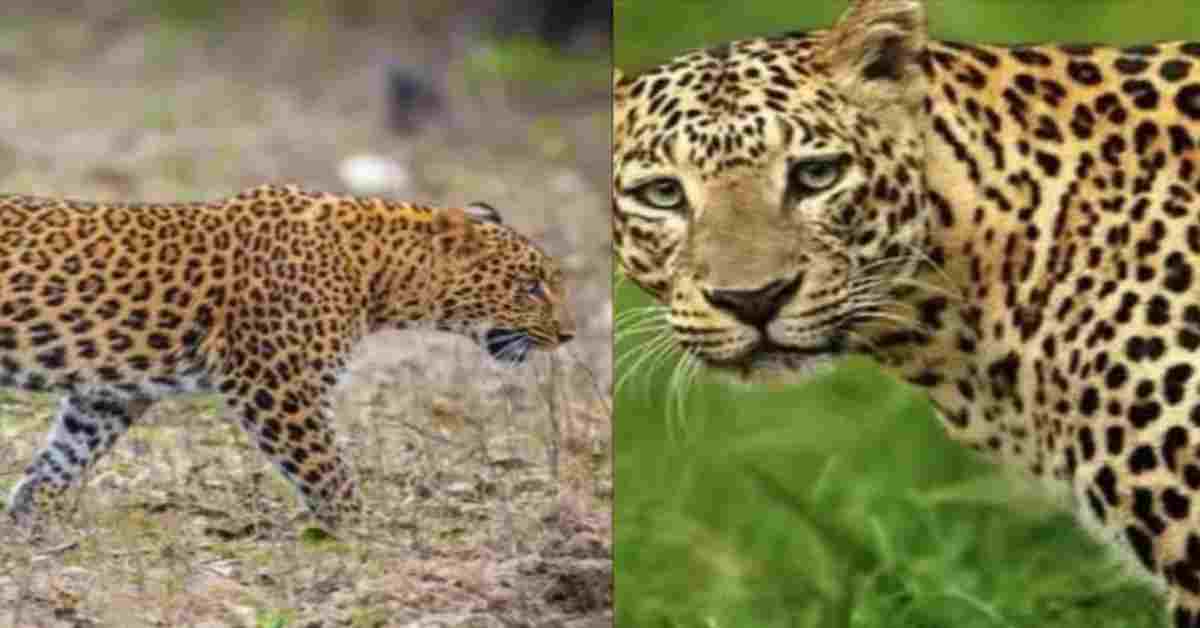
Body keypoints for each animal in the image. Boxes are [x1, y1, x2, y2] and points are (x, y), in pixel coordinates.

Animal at [1, 182, 575, 529]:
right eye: (530, 287)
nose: (569, 334)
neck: (377, 271)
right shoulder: (277, 383)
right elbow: (327, 468)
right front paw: (363, 533)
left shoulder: (113, 389)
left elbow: (67, 452)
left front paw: (28, 518)